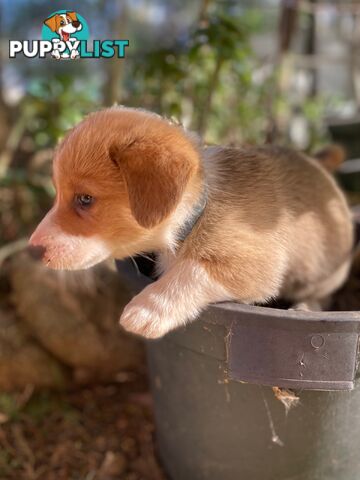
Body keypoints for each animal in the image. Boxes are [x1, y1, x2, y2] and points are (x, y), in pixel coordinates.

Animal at [28, 109, 354, 338]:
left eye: (85, 199)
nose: (32, 251)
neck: (198, 209)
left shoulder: (255, 264)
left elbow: (190, 271)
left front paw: (146, 310)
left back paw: (305, 308)